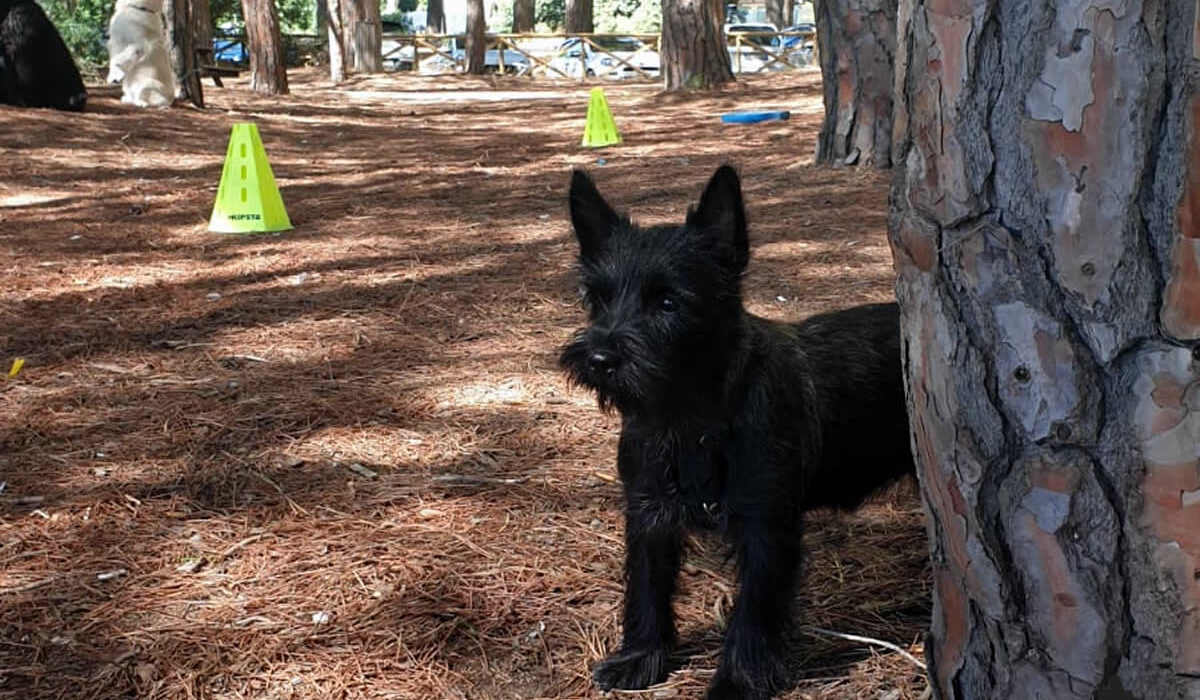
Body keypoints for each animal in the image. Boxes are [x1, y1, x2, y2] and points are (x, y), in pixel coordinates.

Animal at [556, 166, 912, 696]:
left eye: (669, 302)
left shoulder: (765, 527)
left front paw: (738, 681)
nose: (599, 358)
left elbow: (754, 612)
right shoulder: (649, 515)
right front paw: (640, 657)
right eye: (596, 298)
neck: (690, 420)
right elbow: (646, 588)